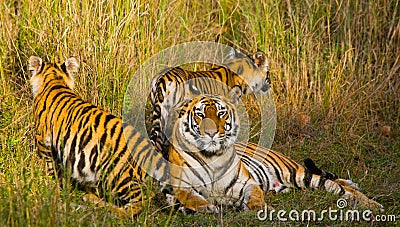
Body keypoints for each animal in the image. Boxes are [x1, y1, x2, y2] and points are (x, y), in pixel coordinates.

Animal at [28, 55, 169, 215]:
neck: (55, 80)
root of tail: (150, 151)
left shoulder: (43, 139)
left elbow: (49, 164)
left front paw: (50, 182)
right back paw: (91, 198)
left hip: (115, 175)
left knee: (142, 200)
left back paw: (113, 210)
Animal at [166, 90, 384, 213]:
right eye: (200, 115)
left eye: (221, 113)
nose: (212, 133)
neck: (211, 157)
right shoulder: (182, 186)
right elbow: (192, 198)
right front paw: (206, 207)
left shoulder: (248, 183)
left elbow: (255, 198)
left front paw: (260, 209)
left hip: (299, 174)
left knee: (342, 188)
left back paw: (373, 204)